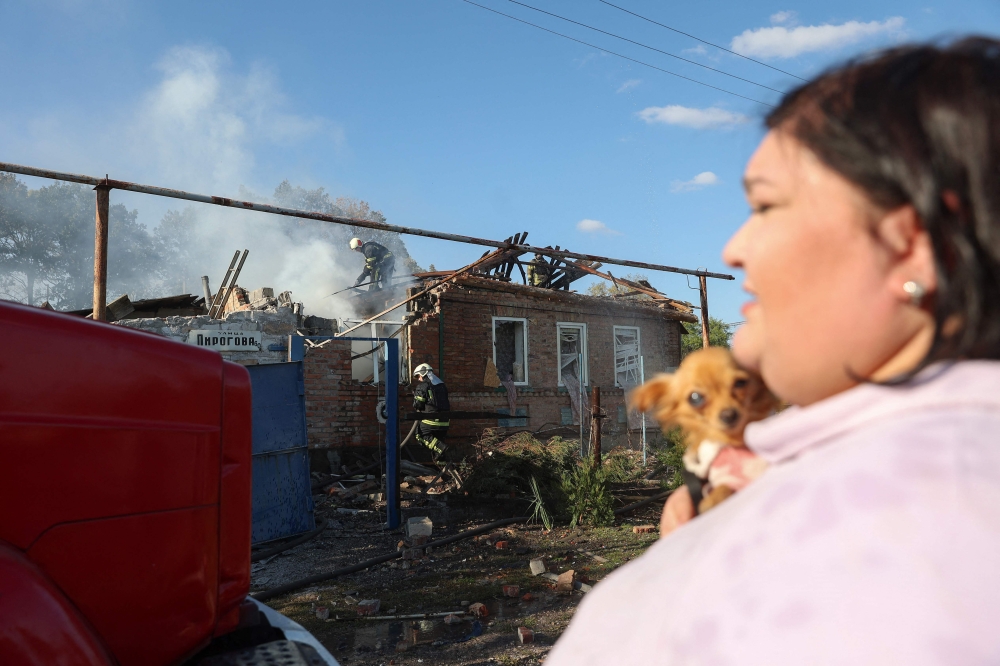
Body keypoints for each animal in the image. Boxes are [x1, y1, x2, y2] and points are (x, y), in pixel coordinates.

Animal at [628, 344, 776, 520]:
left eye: (740, 383)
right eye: (695, 398)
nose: (729, 415)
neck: (733, 440)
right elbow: (723, 487)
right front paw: (712, 502)